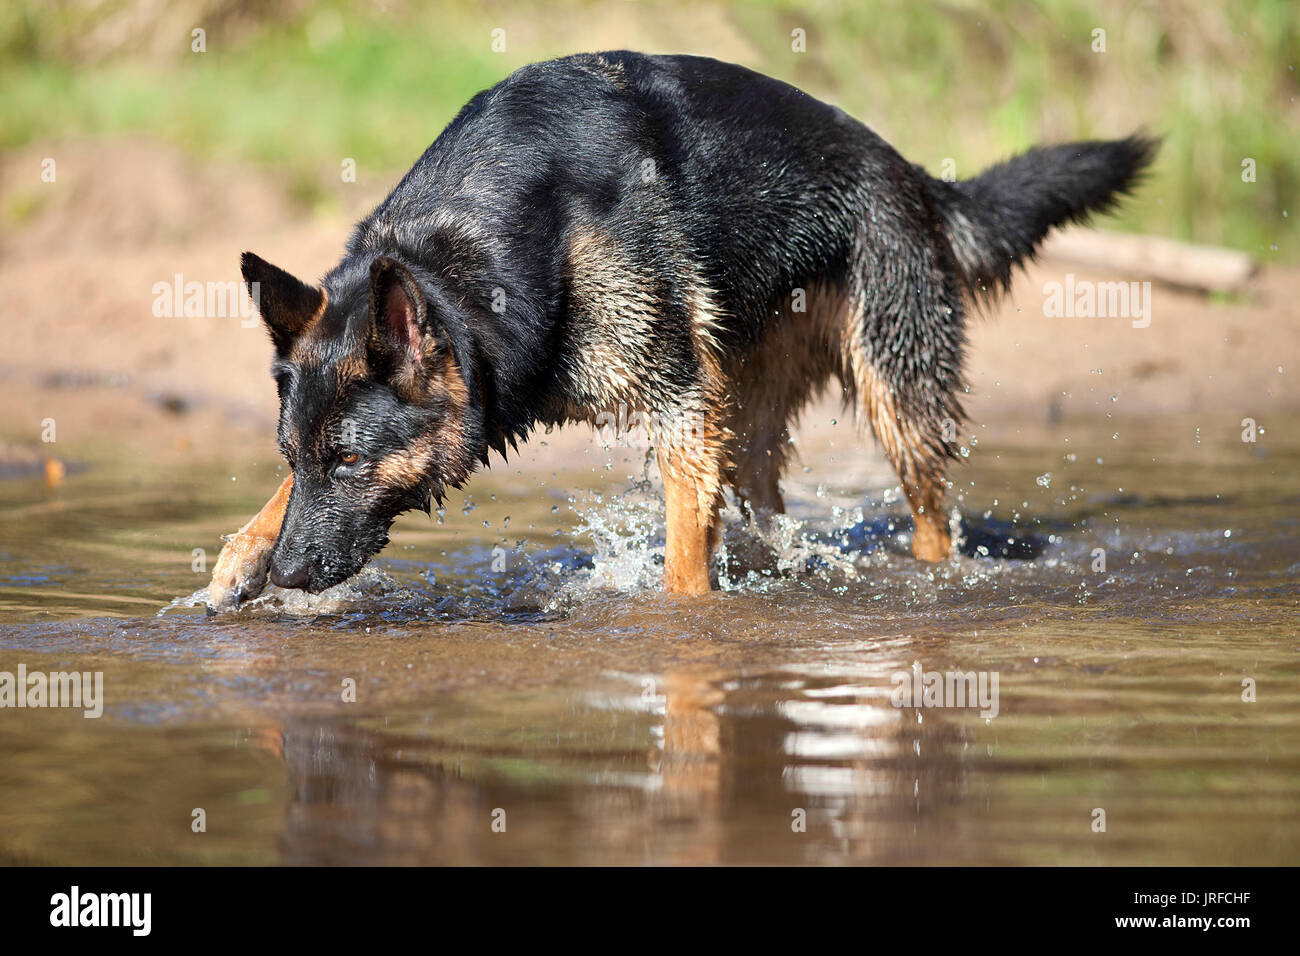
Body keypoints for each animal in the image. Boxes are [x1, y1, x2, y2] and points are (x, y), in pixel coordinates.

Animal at [205, 50, 1159, 613]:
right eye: (299, 459)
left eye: (350, 464)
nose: (291, 579)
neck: (471, 251)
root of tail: (917, 178)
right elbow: (272, 505)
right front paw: (241, 560)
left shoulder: (679, 410)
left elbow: (682, 571)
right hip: (752, 408)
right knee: (765, 502)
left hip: (896, 398)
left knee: (930, 513)